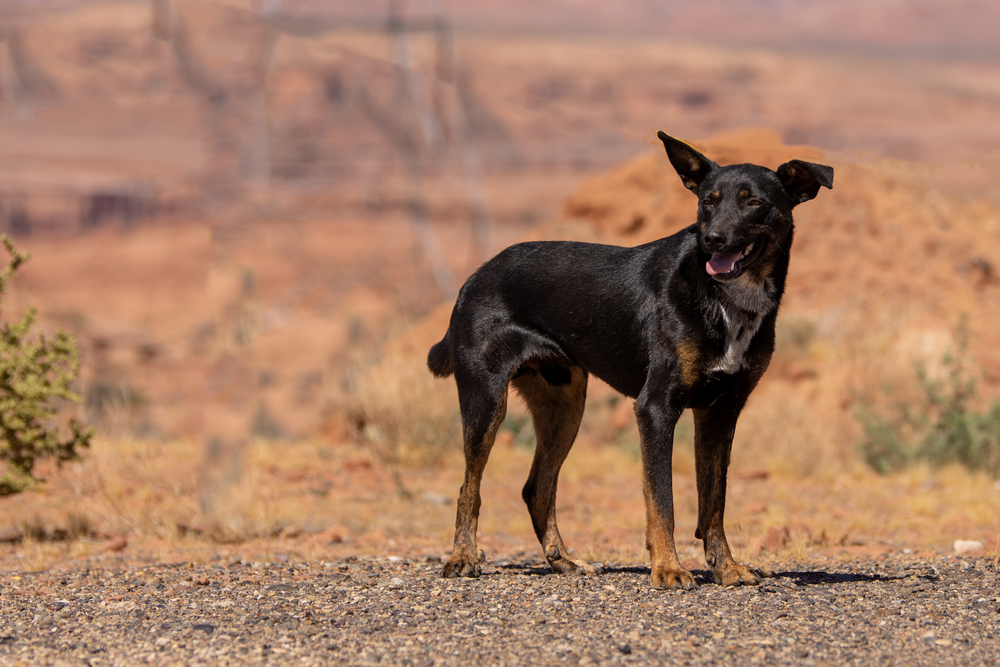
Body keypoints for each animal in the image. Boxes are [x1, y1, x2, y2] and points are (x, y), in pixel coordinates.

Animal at [430, 132, 836, 588]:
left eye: (754, 202)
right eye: (707, 202)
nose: (712, 238)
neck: (726, 300)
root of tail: (473, 278)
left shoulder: (721, 411)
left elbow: (714, 501)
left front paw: (726, 567)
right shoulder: (656, 408)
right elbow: (663, 500)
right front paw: (668, 567)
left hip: (565, 406)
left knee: (537, 488)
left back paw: (564, 561)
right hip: (486, 402)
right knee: (469, 488)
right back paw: (463, 558)